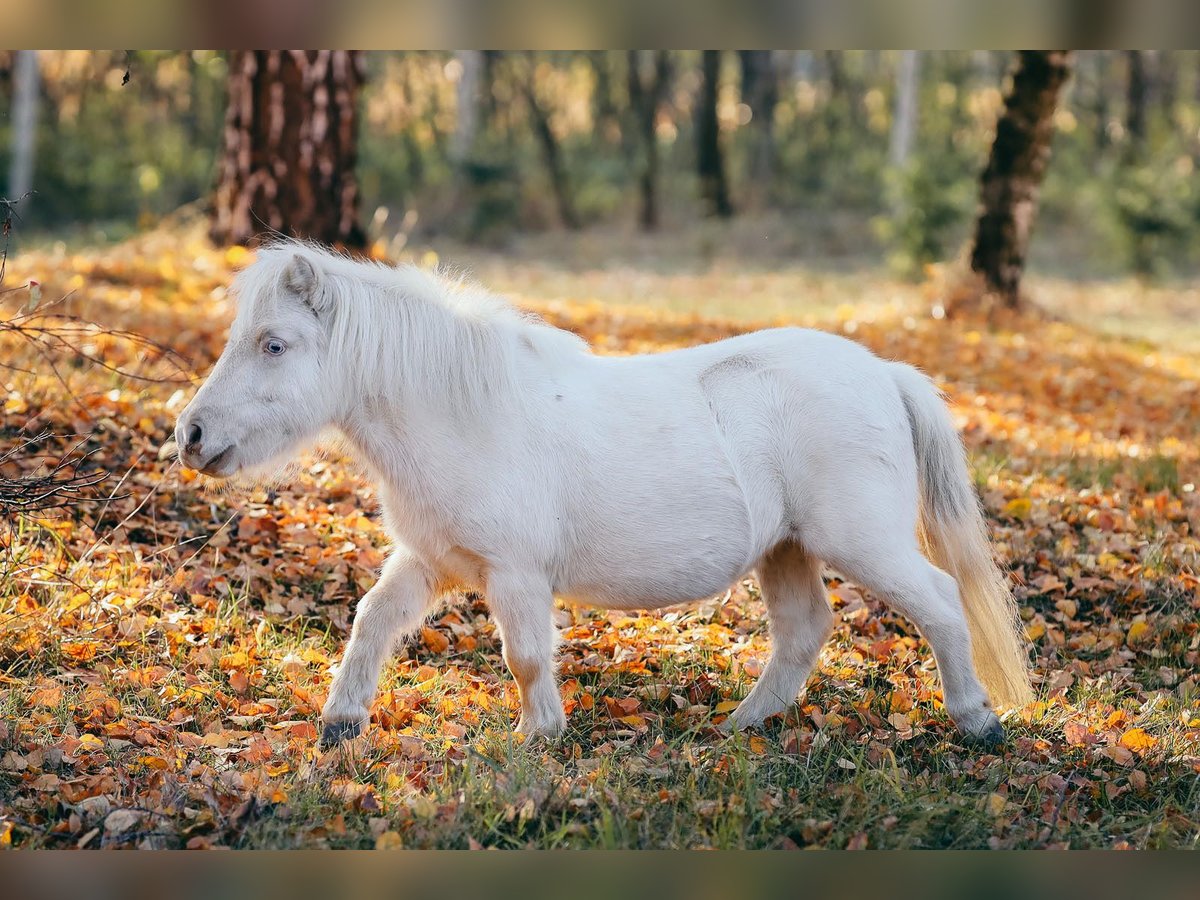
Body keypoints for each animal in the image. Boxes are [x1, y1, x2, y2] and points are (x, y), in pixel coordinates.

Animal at [175, 240, 1032, 748]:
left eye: (274, 345)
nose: (191, 434)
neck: (466, 411)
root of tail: (884, 373)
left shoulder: (514, 576)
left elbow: (524, 656)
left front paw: (539, 737)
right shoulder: (430, 562)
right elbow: (372, 621)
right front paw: (341, 723)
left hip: (863, 544)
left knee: (940, 601)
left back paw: (977, 721)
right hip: (786, 550)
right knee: (803, 632)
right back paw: (740, 725)